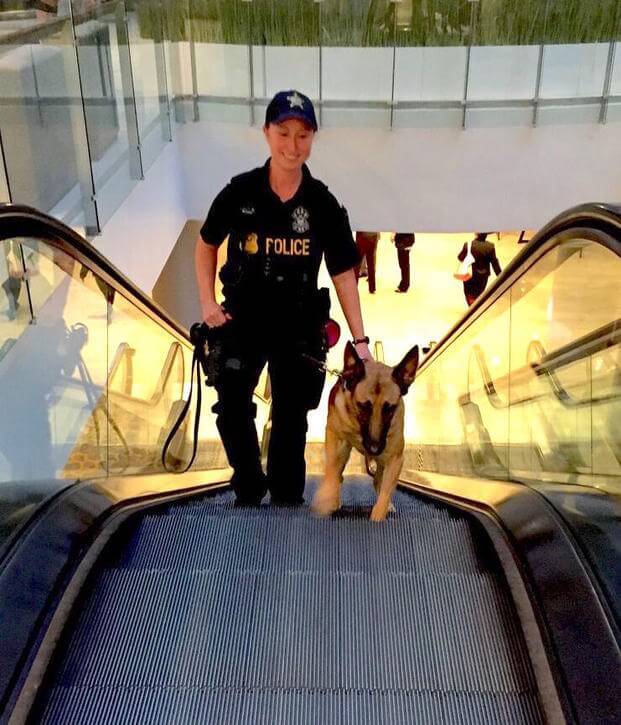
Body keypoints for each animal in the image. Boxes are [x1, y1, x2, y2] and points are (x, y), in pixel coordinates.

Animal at [312, 340, 418, 520]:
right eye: (363, 406)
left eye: (390, 409)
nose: (374, 448)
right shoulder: (334, 438)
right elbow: (332, 471)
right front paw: (327, 498)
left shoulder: (395, 459)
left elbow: (385, 492)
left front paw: (379, 514)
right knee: (338, 473)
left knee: (378, 481)